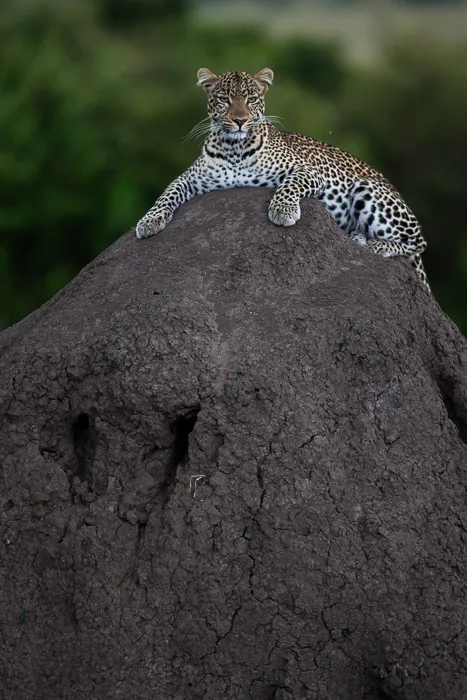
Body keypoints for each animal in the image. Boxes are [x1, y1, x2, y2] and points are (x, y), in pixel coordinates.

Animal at [136, 67, 429, 289]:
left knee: (417, 243)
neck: (234, 148)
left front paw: (283, 211)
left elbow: (290, 185)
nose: (239, 120)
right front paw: (149, 221)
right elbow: (168, 193)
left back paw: (372, 244)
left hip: (367, 188)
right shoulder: (191, 178)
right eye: (224, 99)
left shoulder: (309, 171)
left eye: (252, 99)